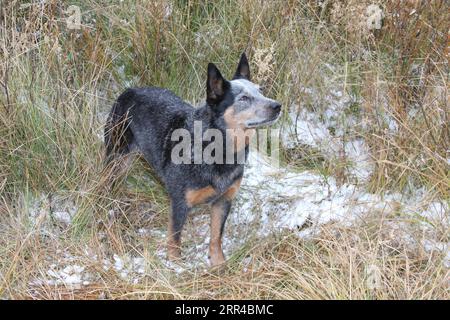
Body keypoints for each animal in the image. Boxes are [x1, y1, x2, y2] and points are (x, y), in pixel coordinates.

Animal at [105, 53, 282, 268]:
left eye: (261, 91)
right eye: (244, 98)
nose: (277, 106)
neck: (219, 151)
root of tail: (129, 90)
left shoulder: (224, 200)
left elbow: (216, 236)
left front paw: (219, 263)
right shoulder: (180, 202)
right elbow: (174, 239)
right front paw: (175, 266)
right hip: (116, 157)